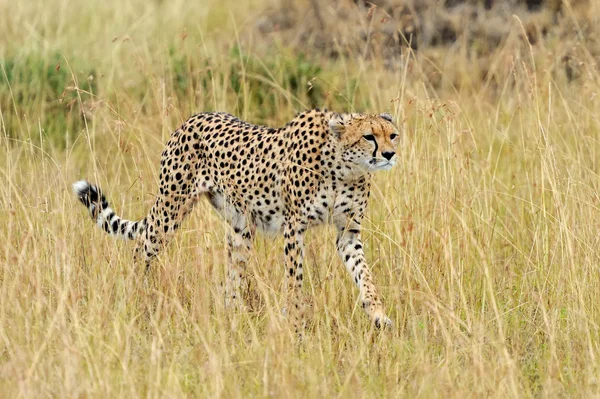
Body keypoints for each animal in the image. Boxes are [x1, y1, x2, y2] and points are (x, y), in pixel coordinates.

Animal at [75, 108, 400, 332]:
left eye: (392, 135)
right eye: (369, 136)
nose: (389, 154)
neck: (344, 168)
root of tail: (192, 118)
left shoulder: (348, 232)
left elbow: (364, 274)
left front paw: (378, 314)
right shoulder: (293, 228)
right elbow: (294, 280)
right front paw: (295, 323)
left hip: (241, 229)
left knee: (231, 279)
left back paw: (233, 317)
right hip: (170, 210)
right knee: (140, 248)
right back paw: (132, 297)